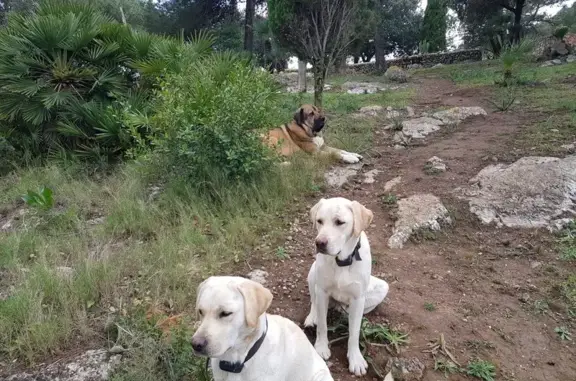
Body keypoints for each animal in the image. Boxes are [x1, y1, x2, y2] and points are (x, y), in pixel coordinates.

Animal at [304, 197, 390, 376]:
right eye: (319, 221)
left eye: (339, 222)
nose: (319, 243)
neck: (342, 260)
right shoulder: (322, 291)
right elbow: (322, 325)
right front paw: (321, 347)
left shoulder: (358, 297)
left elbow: (355, 331)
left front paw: (355, 358)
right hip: (313, 271)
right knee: (314, 302)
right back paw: (312, 317)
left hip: (382, 287)